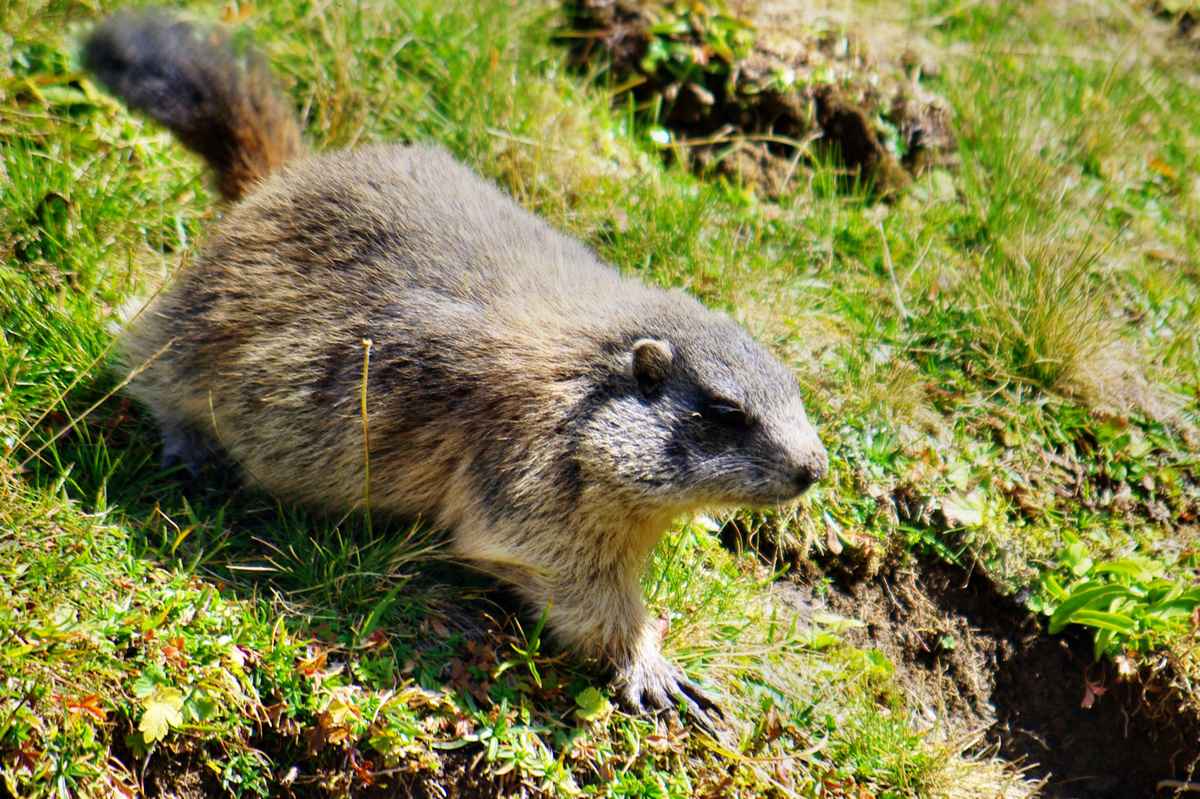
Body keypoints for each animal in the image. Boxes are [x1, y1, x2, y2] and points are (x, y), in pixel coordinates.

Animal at [83, 9, 828, 727]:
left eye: (794, 390)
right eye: (726, 411)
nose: (815, 468)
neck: (589, 379)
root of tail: (278, 183)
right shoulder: (543, 470)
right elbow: (561, 566)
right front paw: (656, 667)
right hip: (199, 321)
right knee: (148, 354)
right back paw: (189, 444)